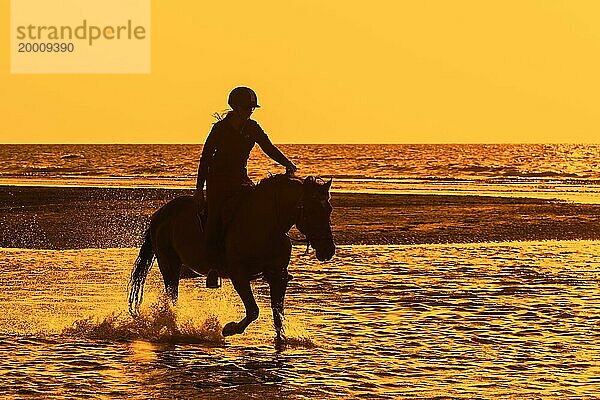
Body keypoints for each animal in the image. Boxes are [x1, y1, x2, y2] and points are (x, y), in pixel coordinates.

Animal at [127, 174, 336, 340]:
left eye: (329, 209)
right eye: (312, 210)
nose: (328, 250)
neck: (266, 225)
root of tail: (160, 214)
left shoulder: (278, 277)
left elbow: (278, 314)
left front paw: (281, 342)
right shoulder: (239, 276)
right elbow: (253, 311)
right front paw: (230, 329)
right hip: (169, 265)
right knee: (172, 298)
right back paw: (174, 329)